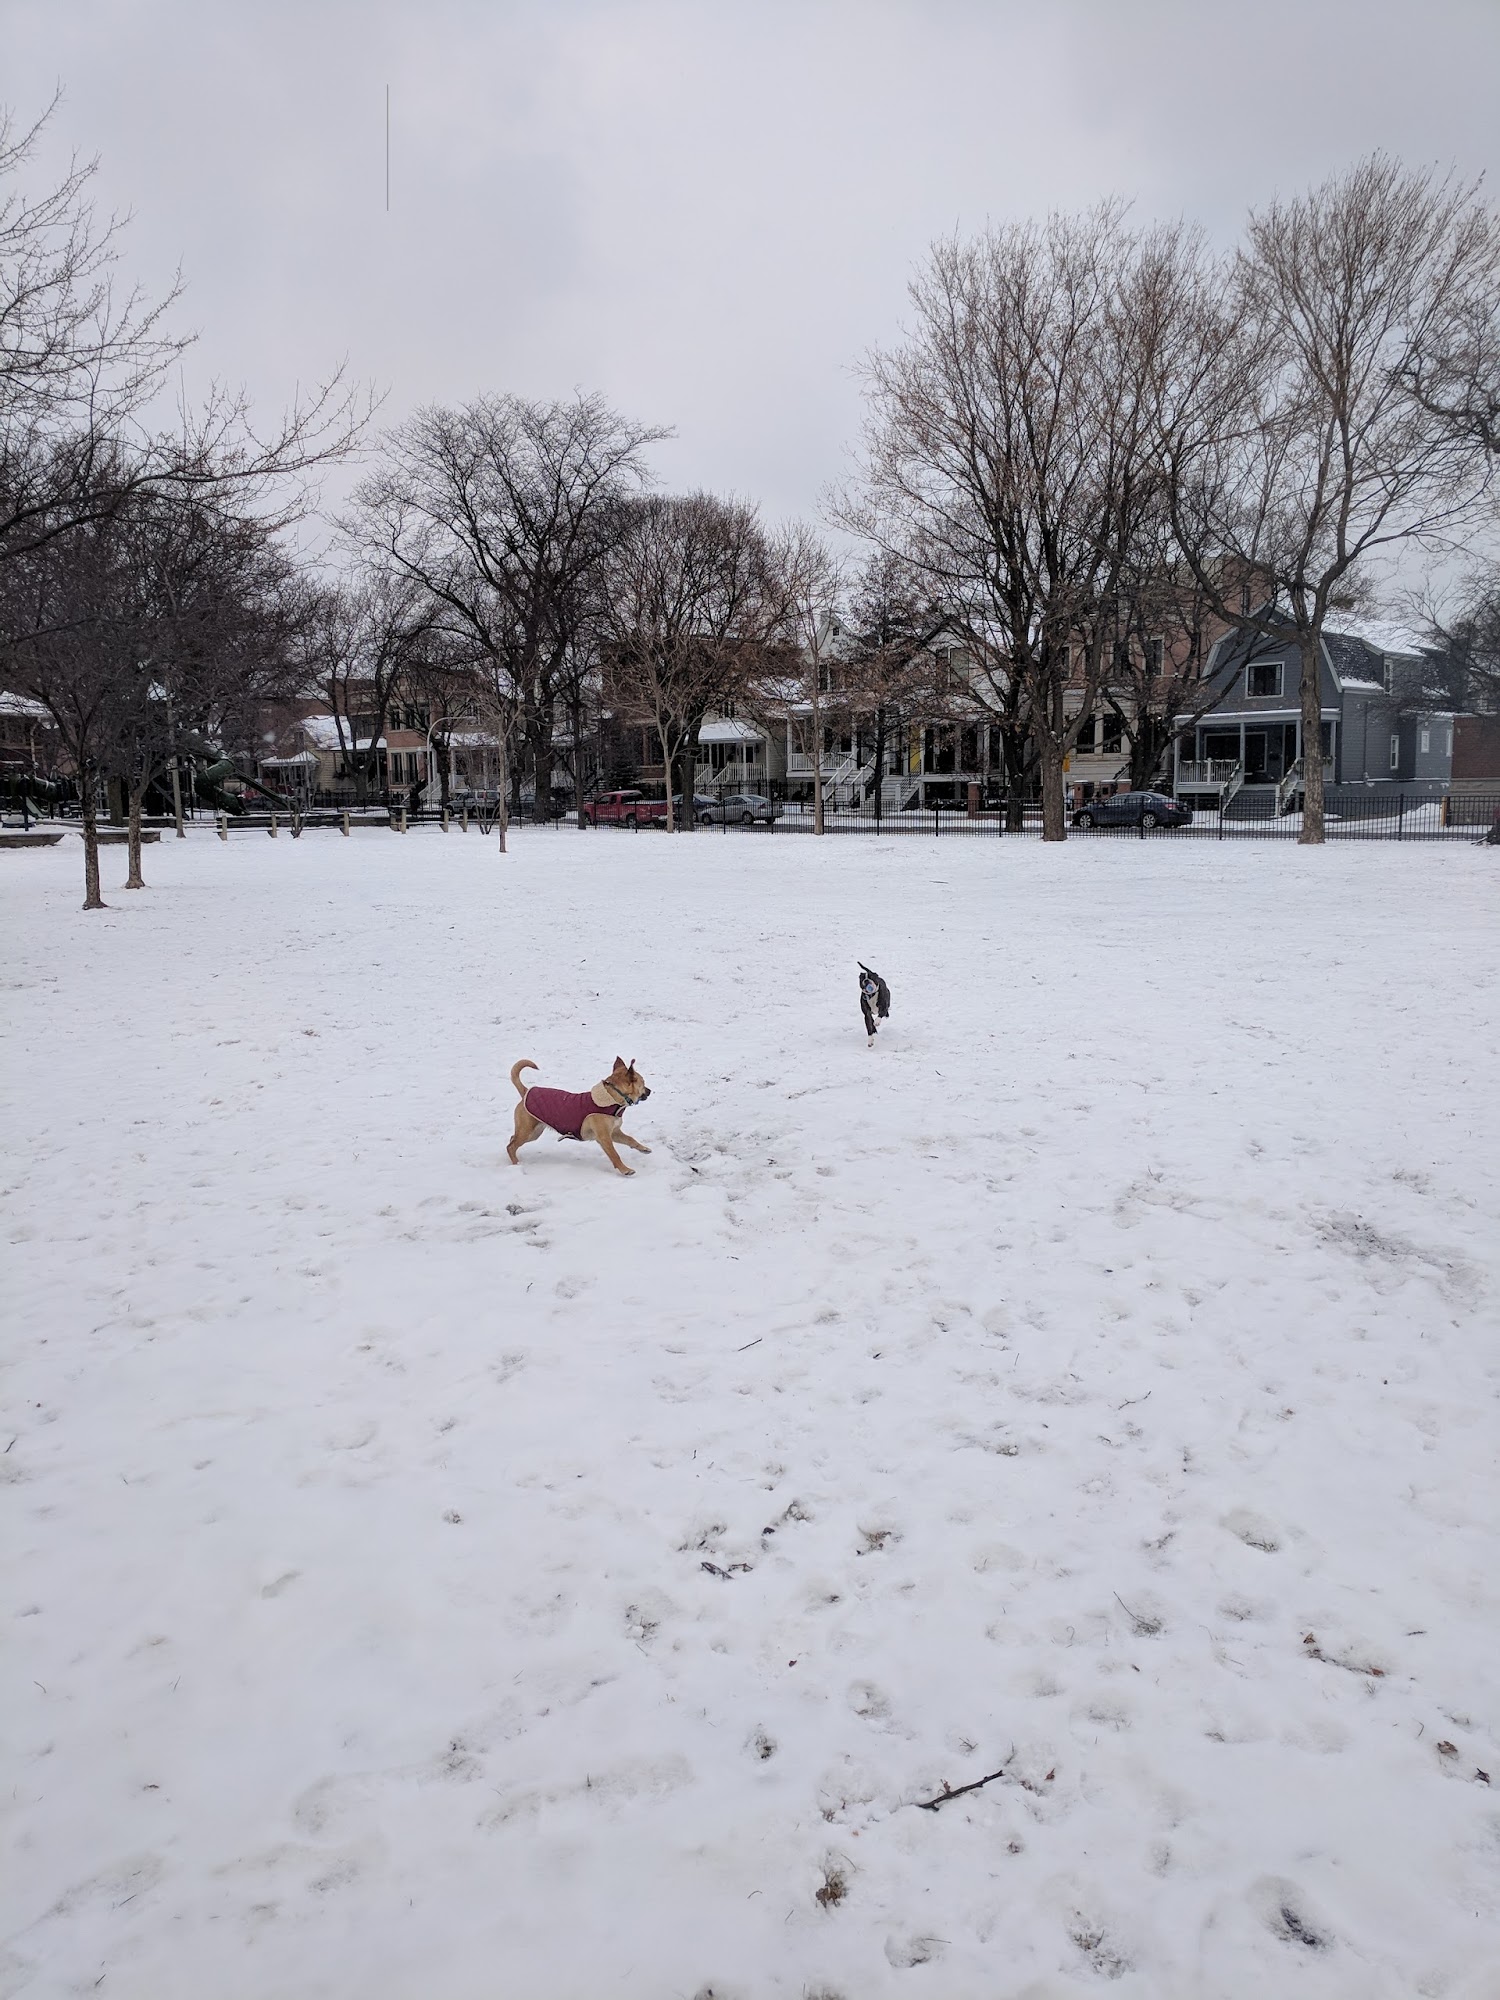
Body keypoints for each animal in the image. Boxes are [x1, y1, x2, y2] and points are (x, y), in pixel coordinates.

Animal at [507, 1057, 653, 1176]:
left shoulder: (614, 1133)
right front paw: (625, 1170)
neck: (613, 1099)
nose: (650, 1091)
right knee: (510, 1146)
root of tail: (526, 1091)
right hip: (527, 1131)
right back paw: (516, 1164)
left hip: (534, 1132)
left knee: (512, 1139)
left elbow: (630, 1139)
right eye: (643, 1082)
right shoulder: (604, 1137)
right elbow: (614, 1155)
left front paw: (643, 1148)